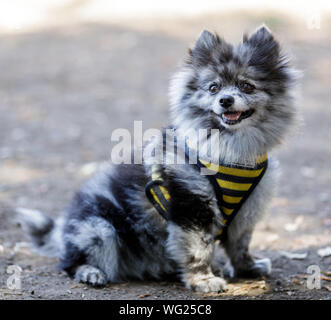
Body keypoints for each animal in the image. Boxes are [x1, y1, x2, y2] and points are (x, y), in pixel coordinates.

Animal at [18, 26, 298, 292]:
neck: (230, 148)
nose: (225, 100)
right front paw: (204, 280)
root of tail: (63, 227)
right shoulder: (191, 206)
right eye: (214, 88)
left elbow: (240, 244)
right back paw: (90, 272)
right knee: (70, 261)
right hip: (99, 227)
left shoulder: (247, 209)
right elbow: (199, 249)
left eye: (246, 86)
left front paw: (247, 267)